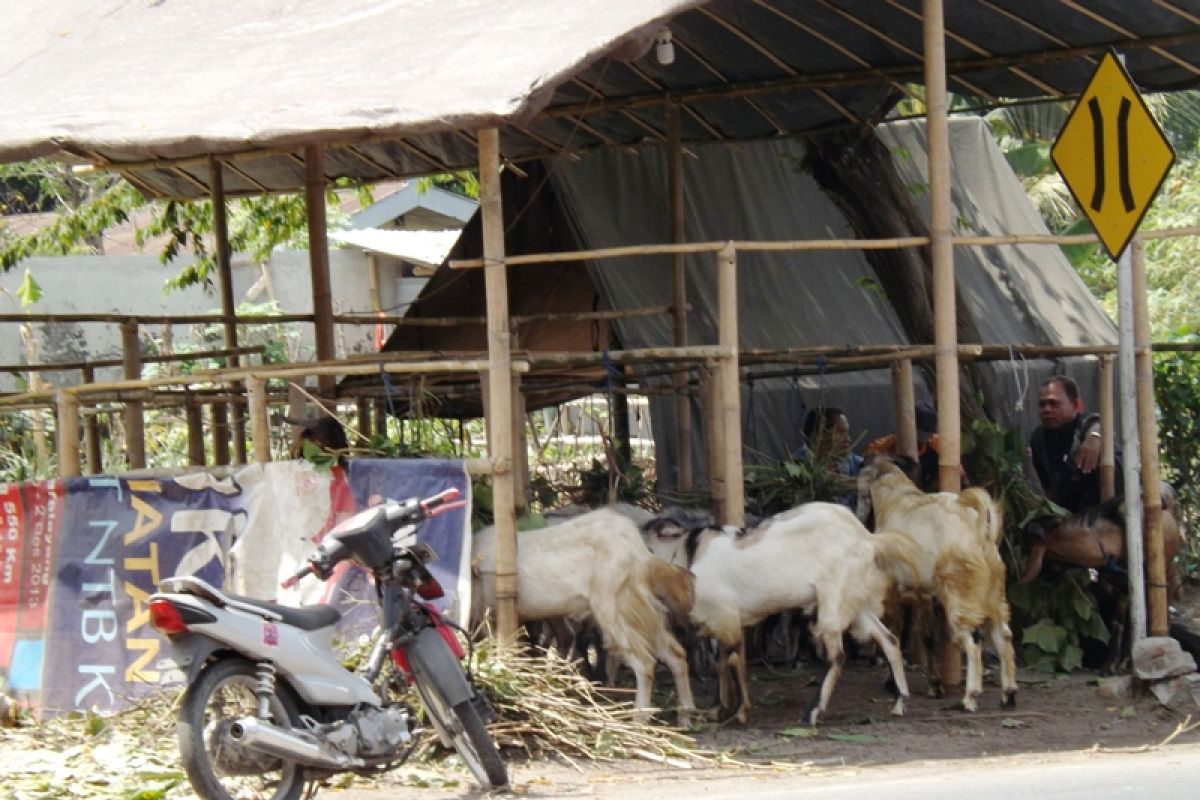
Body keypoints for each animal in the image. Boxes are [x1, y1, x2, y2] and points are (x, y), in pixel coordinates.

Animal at [468, 513, 696, 724]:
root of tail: (640, 553)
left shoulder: (490, 614)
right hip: (638, 608)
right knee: (676, 654)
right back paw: (684, 718)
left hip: (615, 608)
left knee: (645, 662)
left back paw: (639, 720)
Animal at [648, 503, 907, 729]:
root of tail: (865, 536)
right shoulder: (720, 623)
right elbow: (721, 663)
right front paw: (717, 709)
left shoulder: (725, 618)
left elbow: (733, 661)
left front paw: (740, 712)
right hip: (855, 601)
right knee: (889, 640)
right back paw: (899, 702)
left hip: (833, 601)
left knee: (837, 656)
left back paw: (810, 714)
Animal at [859, 453, 1017, 710]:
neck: (898, 500)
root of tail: (976, 529)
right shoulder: (928, 596)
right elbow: (926, 637)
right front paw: (933, 684)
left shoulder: (897, 594)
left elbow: (897, 633)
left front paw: (898, 684)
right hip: (993, 593)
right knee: (1003, 635)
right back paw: (1009, 695)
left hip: (960, 595)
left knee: (973, 640)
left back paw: (969, 698)